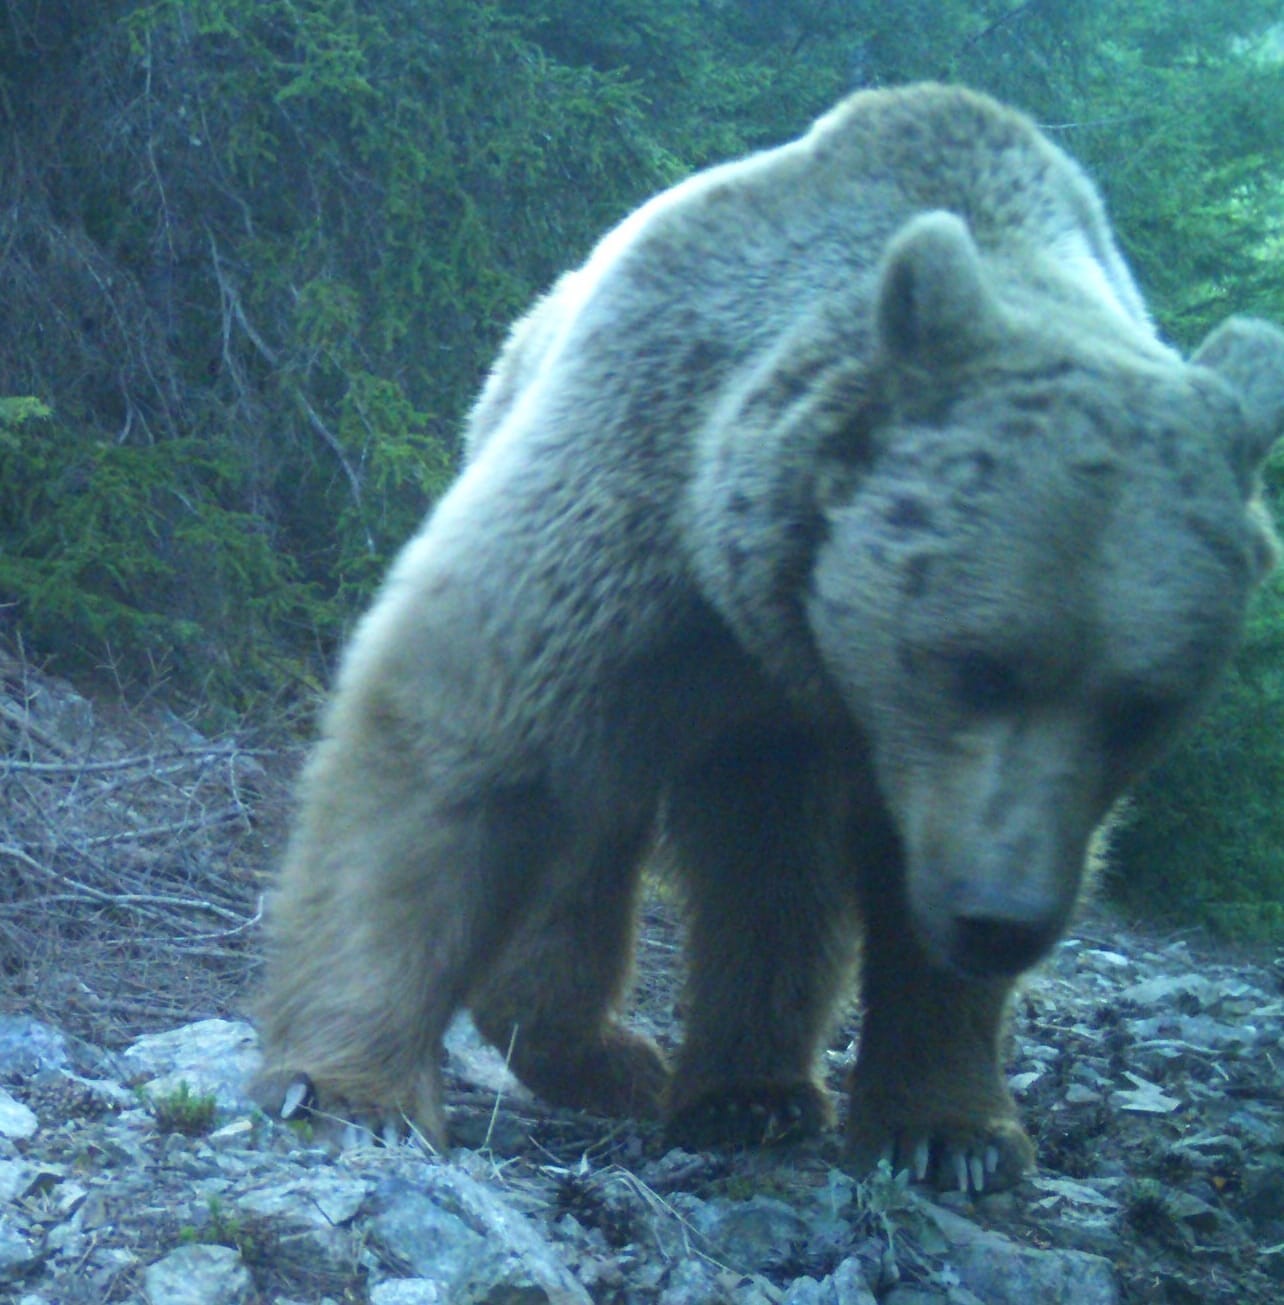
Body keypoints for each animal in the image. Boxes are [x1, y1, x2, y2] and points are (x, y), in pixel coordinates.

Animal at [250, 86, 1284, 1195]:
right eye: (975, 664)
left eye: (1144, 705)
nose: (1001, 915)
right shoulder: (634, 512)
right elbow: (463, 743)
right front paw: (347, 1087)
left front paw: (950, 1132)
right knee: (618, 839)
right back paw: (619, 1052)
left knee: (769, 864)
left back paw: (749, 1090)